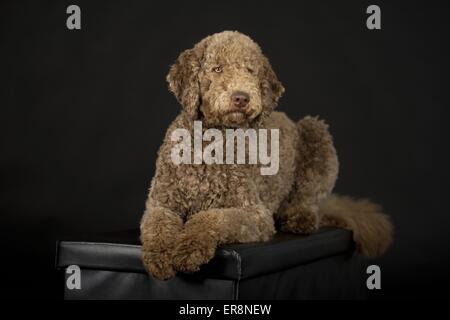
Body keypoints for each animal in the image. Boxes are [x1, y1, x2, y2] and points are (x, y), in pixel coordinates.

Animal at [141, 31, 394, 278]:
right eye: (217, 68)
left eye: (250, 71)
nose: (241, 97)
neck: (212, 143)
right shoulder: (160, 203)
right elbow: (157, 227)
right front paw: (160, 257)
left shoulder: (255, 214)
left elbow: (212, 218)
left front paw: (189, 249)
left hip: (314, 130)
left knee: (310, 196)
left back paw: (300, 216)